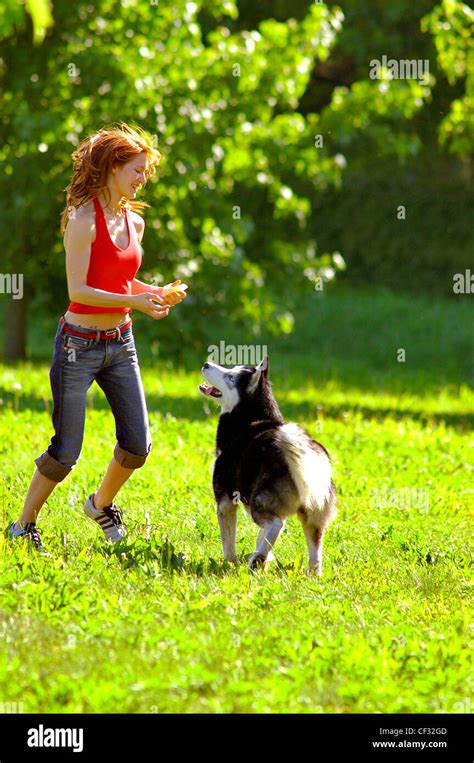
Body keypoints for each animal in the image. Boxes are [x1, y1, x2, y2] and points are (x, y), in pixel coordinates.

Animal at [199, 356, 336, 572]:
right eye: (232, 368)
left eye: (230, 376)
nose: (206, 364)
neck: (252, 419)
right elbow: (260, 537)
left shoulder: (225, 500)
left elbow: (228, 542)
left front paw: (230, 564)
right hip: (314, 513)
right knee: (314, 550)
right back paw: (309, 572)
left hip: (261, 501)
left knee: (277, 525)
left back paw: (257, 559)